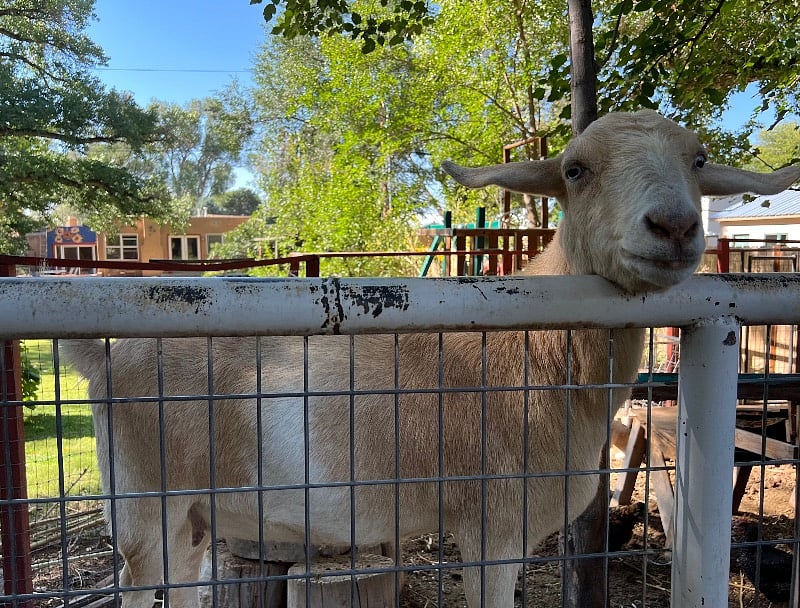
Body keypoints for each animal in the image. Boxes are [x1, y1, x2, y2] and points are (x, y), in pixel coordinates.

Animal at [62, 110, 800, 607]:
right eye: (576, 170)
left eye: (699, 160)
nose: (675, 226)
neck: (537, 351)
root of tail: (103, 360)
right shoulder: (493, 526)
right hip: (142, 498)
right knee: (138, 583)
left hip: (191, 513)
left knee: (182, 580)